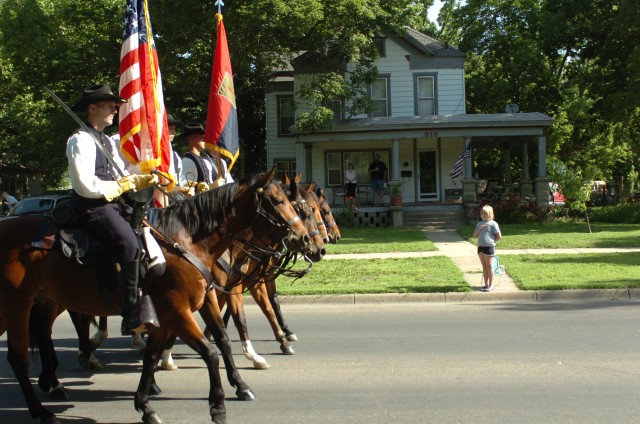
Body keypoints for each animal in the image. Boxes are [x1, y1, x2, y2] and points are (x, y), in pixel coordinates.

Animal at [0, 169, 310, 424]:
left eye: (292, 202)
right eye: (278, 201)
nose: (306, 239)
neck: (187, 240)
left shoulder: (190, 304)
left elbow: (201, 344)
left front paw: (147, 404)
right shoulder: (177, 310)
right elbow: (210, 352)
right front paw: (217, 404)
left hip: (37, 303)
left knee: (41, 335)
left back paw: (55, 381)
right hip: (18, 306)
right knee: (20, 357)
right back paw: (42, 407)